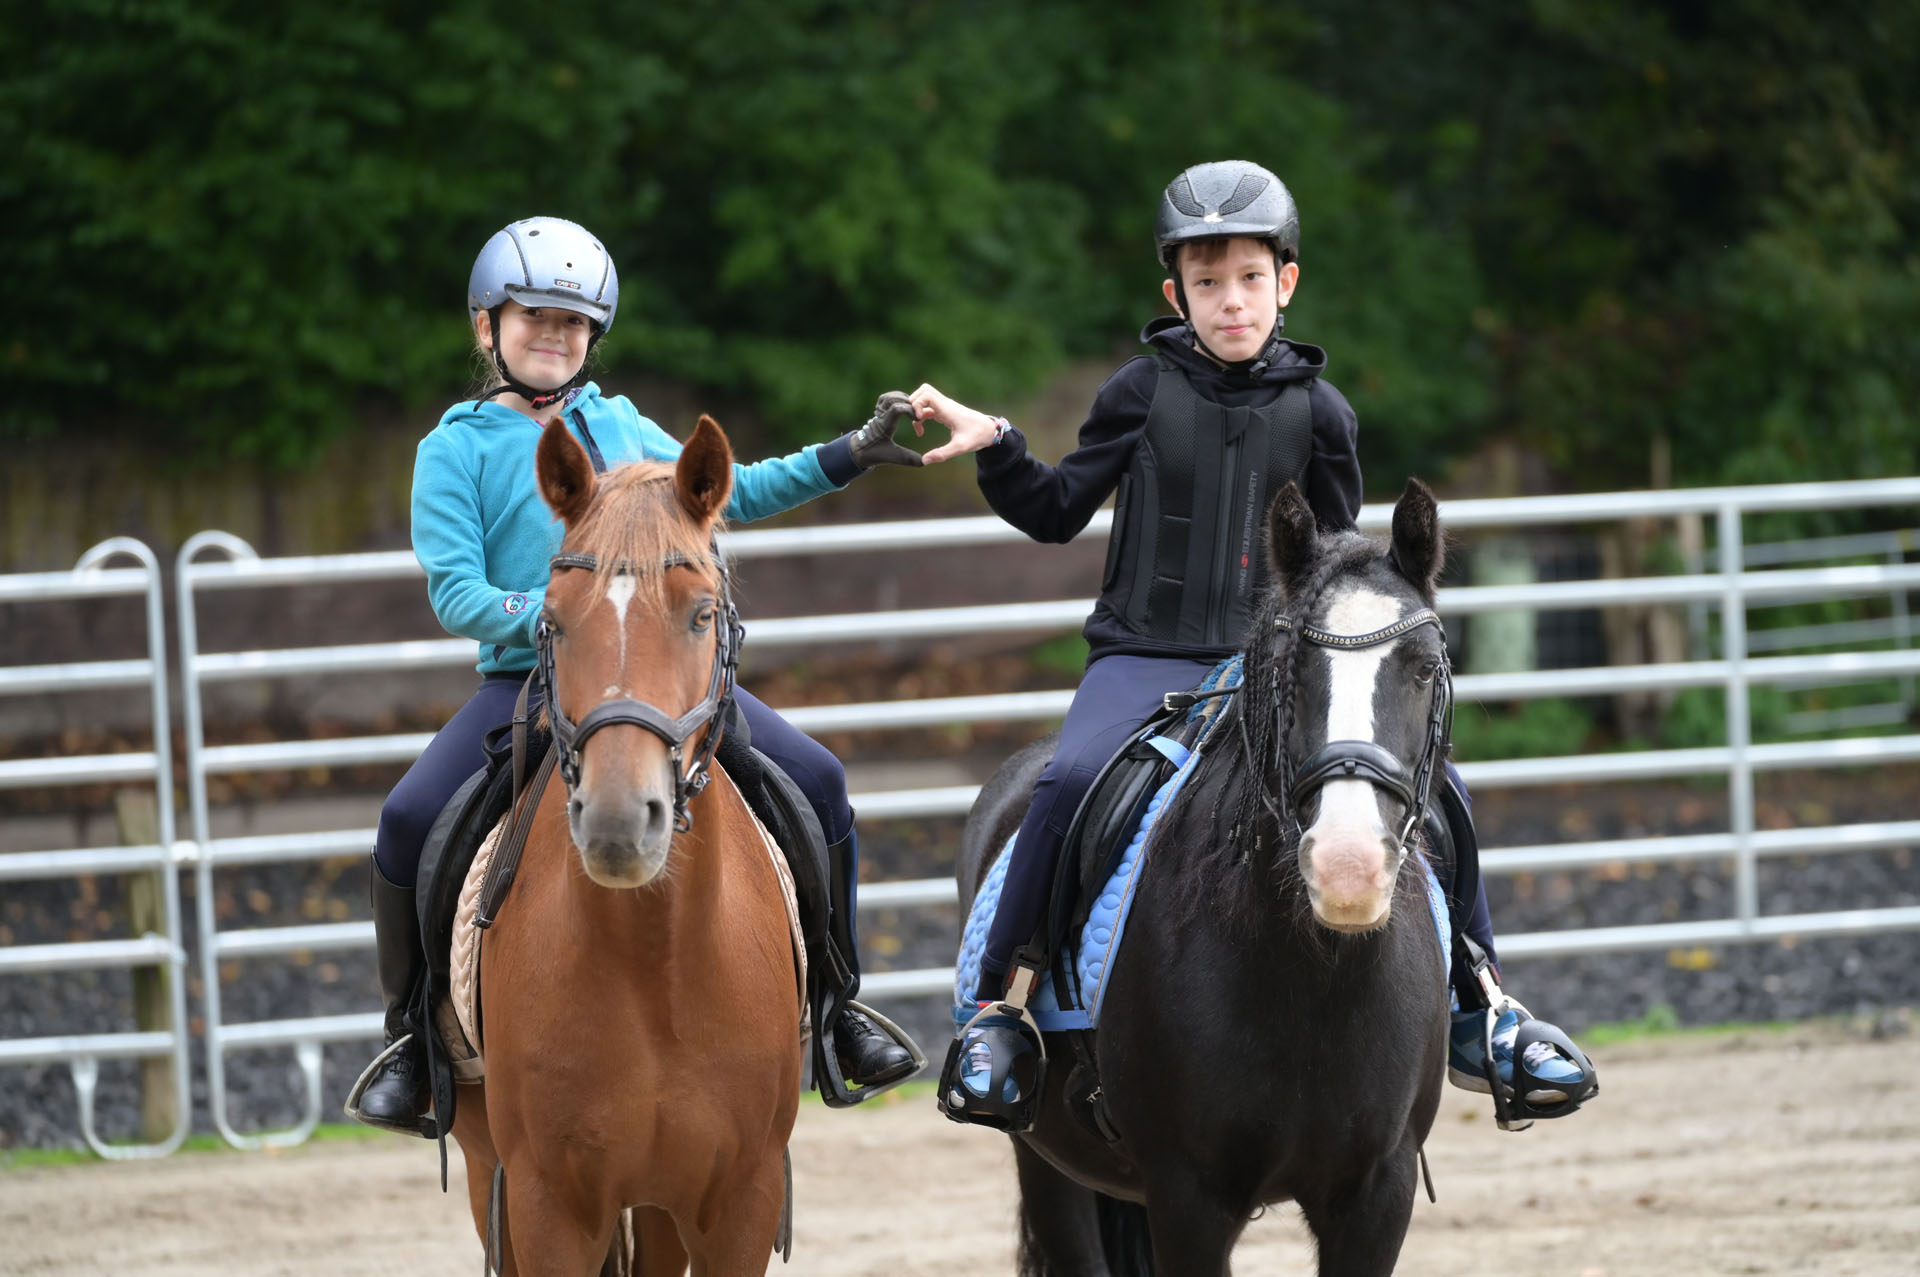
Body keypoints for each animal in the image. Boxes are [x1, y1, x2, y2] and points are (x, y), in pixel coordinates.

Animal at [451, 412, 802, 1267]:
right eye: (550, 619)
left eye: (702, 614)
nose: (616, 821)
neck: (656, 958)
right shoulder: (546, 1204)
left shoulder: (741, 1200)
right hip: (487, 1170)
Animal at [960, 480, 1451, 1275]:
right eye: (1287, 667)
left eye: (1426, 666)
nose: (1348, 868)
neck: (1314, 977)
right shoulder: (1188, 1196)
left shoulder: (1379, 1192)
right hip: (1046, 1165)